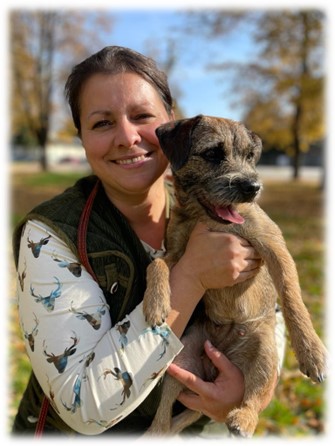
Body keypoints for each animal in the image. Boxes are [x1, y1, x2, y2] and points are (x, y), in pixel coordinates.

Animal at [142, 116, 328, 440]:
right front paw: (155, 304)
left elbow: (291, 296)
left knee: (252, 397)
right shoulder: (176, 254)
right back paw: (155, 432)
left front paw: (311, 351)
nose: (253, 187)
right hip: (180, 362)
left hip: (265, 356)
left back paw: (243, 419)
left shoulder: (274, 246)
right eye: (212, 154)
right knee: (165, 416)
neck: (206, 218)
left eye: (250, 157)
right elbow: (157, 265)